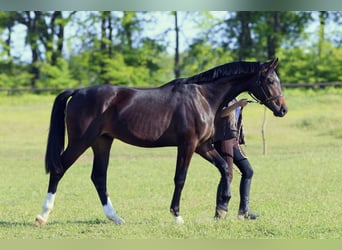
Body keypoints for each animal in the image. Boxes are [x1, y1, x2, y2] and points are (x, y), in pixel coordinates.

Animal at [35, 58, 286, 225]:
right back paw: (42, 215)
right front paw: (177, 215)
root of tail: (78, 92)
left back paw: (115, 217)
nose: (283, 109)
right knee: (59, 169)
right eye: (270, 80)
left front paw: (223, 207)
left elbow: (225, 168)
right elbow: (180, 178)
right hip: (81, 141)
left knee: (98, 177)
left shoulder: (203, 146)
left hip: (102, 142)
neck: (203, 97)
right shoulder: (188, 145)